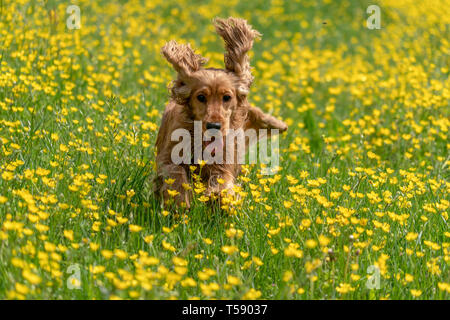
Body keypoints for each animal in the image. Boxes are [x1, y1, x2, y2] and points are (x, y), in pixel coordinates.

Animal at [155, 16, 288, 208]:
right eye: (201, 97)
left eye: (227, 97)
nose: (214, 126)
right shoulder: (168, 156)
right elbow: (175, 172)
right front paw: (180, 201)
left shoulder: (223, 163)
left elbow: (223, 182)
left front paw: (221, 199)